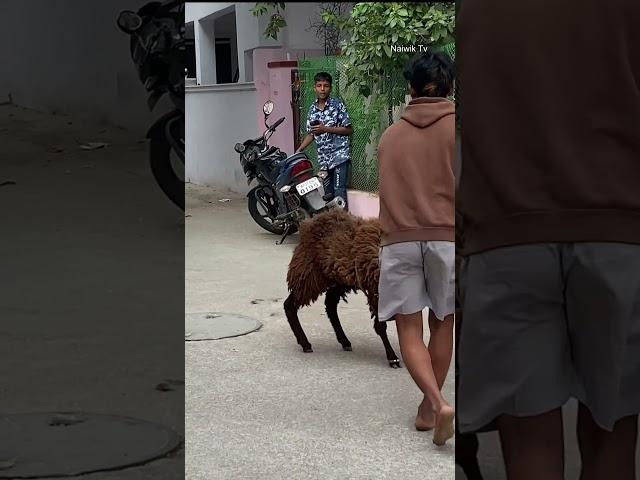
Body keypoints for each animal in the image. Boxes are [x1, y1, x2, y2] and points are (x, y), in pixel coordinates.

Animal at [284, 207, 400, 368]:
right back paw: (305, 343)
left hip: (338, 278)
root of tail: (308, 222)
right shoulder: (377, 290)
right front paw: (393, 358)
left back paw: (344, 341)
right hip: (308, 273)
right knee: (289, 304)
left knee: (330, 305)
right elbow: (381, 327)